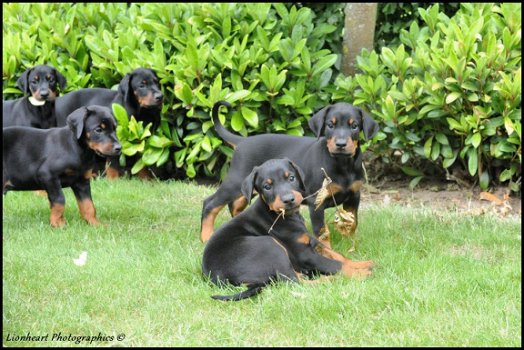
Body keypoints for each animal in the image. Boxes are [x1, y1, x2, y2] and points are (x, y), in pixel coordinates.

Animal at [201, 159, 372, 300]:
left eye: (291, 178)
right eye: (267, 186)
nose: (288, 200)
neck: (285, 216)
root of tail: (217, 277)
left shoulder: (311, 241)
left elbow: (337, 256)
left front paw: (363, 263)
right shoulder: (305, 254)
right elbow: (334, 264)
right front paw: (359, 272)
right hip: (269, 245)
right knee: (293, 281)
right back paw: (335, 279)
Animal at [202, 100, 380, 246]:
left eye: (354, 126)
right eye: (330, 125)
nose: (341, 144)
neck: (342, 164)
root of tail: (242, 141)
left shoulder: (354, 196)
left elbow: (352, 223)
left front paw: (351, 244)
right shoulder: (317, 201)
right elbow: (322, 232)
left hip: (246, 188)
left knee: (235, 205)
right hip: (236, 181)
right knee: (210, 203)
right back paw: (206, 236)